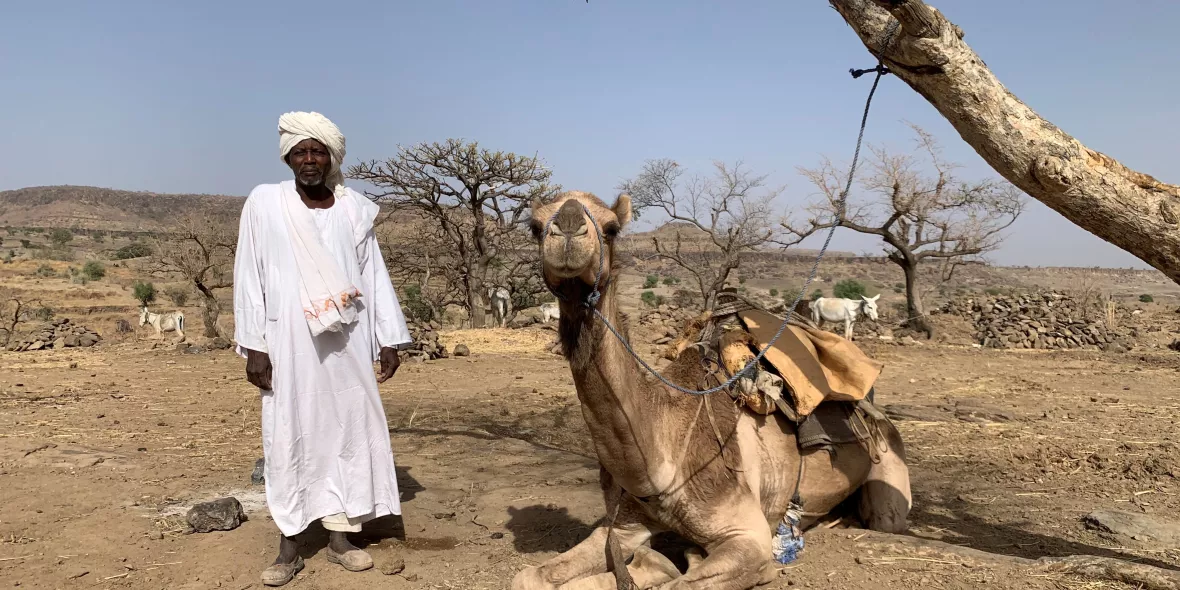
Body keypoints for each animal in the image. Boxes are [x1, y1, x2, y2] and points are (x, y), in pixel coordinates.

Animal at [513, 191, 912, 590]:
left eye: (611, 228)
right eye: (534, 226)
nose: (567, 228)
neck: (665, 454)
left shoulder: (749, 538)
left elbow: (676, 582)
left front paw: (667, 563)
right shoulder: (623, 525)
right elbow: (529, 576)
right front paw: (655, 562)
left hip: (888, 469)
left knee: (885, 517)